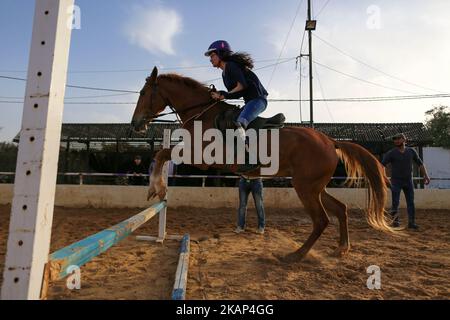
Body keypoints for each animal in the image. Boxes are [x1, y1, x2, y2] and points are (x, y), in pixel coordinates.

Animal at [131, 66, 394, 262]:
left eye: (143, 93)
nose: (136, 124)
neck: (202, 114)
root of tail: (330, 141)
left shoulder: (201, 159)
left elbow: (162, 154)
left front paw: (156, 188)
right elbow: (162, 154)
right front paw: (156, 189)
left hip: (305, 187)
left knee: (321, 220)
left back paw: (295, 255)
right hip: (315, 187)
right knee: (340, 209)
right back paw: (341, 248)